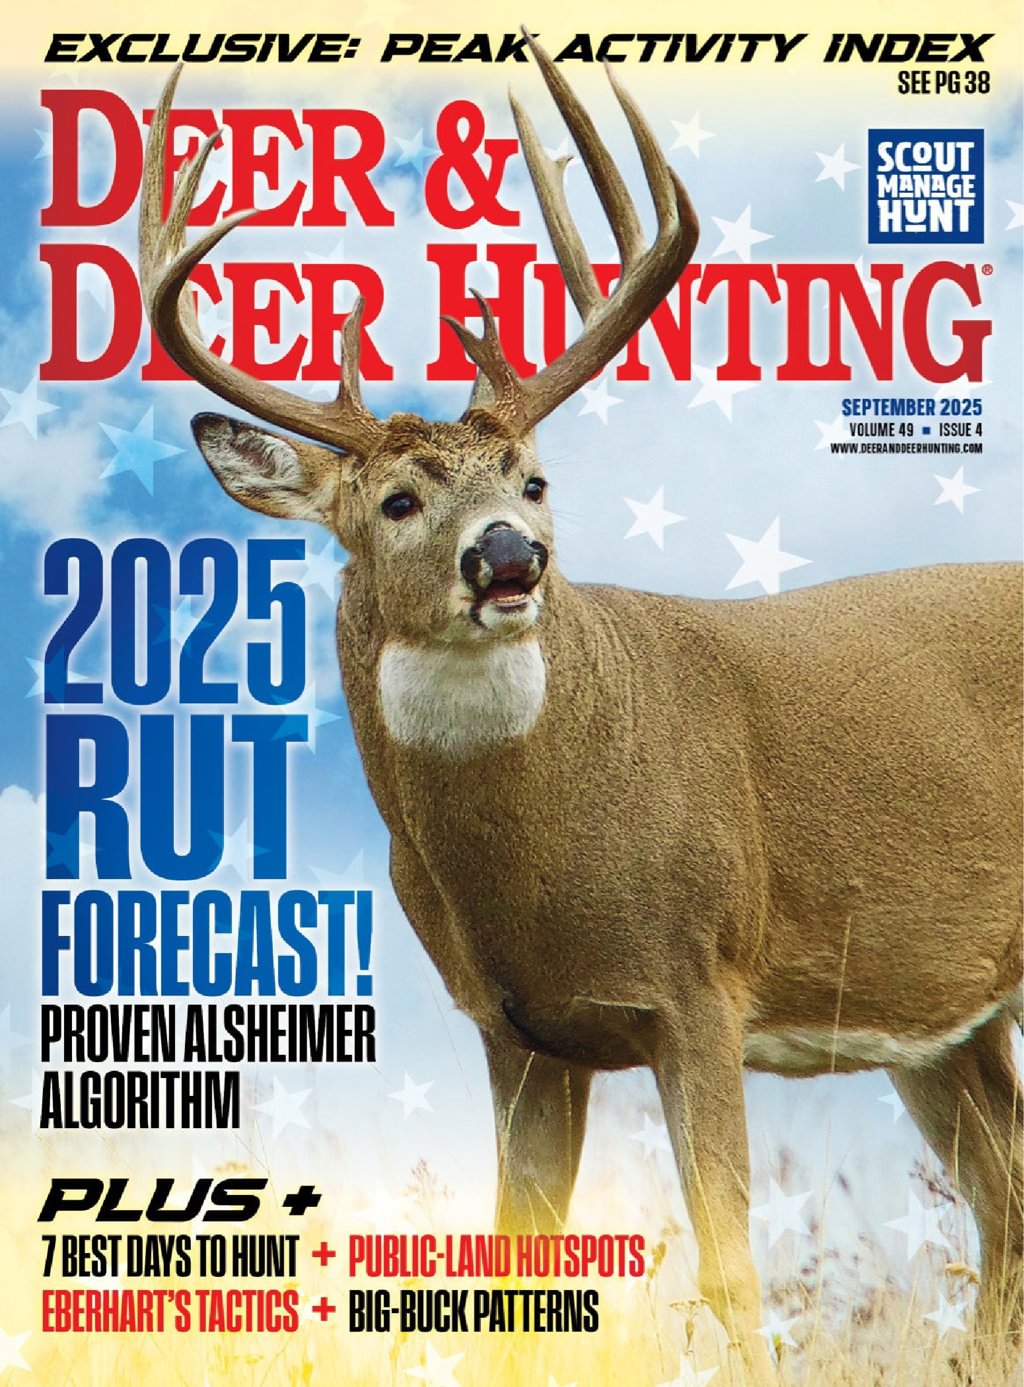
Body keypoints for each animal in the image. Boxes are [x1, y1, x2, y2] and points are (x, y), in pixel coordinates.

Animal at [138, 39, 1023, 1384]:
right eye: (397, 501)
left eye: (535, 479)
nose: (510, 555)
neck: (543, 864)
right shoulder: (515, 1030)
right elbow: (512, 1271)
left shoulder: (700, 976)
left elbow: (727, 1265)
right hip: (936, 1016)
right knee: (1003, 1203)